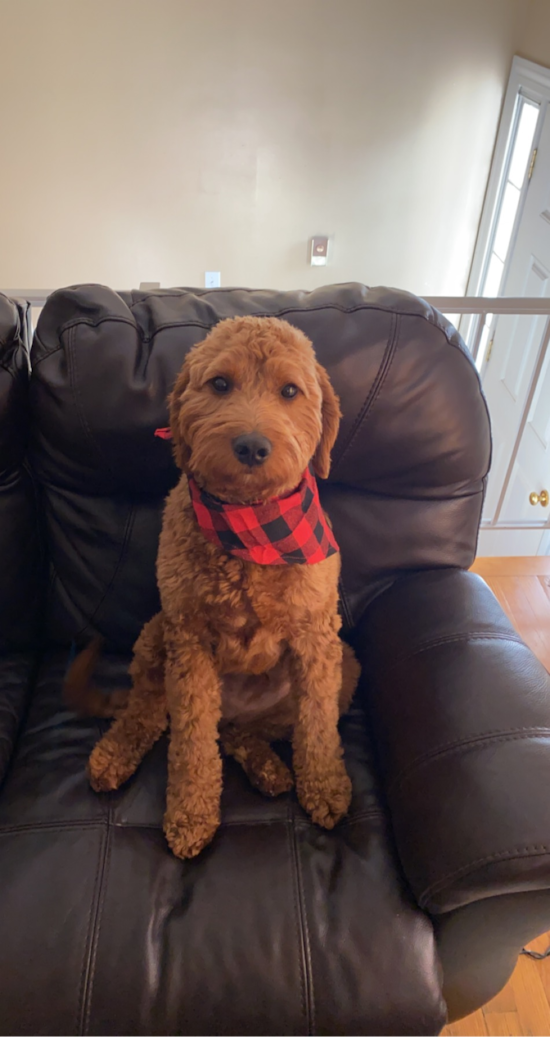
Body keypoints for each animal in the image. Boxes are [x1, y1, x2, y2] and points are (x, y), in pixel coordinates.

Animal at [66, 315, 356, 858]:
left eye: (290, 390)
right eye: (220, 384)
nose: (251, 446)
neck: (251, 530)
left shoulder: (316, 637)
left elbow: (317, 727)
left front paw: (325, 787)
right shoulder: (190, 640)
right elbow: (192, 740)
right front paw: (190, 814)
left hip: (345, 664)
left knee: (245, 731)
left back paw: (269, 768)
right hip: (156, 633)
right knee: (150, 711)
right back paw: (115, 754)